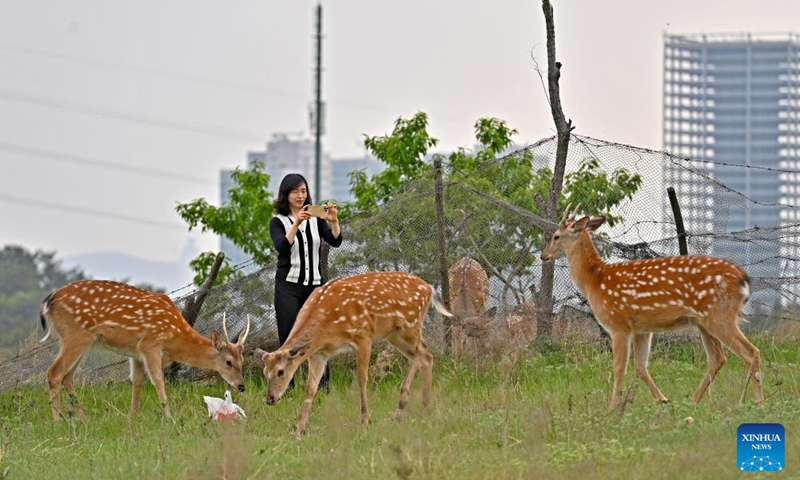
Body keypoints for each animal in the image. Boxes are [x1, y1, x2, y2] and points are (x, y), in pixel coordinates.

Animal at [39, 279, 251, 421]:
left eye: (242, 360)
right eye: (228, 362)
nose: (241, 386)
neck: (175, 338)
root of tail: (48, 302)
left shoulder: (135, 352)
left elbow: (137, 381)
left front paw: (132, 416)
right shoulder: (150, 343)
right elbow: (157, 380)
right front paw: (169, 417)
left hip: (82, 340)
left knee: (68, 377)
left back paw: (83, 418)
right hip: (76, 335)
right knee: (54, 372)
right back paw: (58, 421)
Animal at [254, 271, 452, 435]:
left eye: (281, 371)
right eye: (264, 373)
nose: (270, 399)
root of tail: (429, 289)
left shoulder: (363, 336)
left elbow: (361, 379)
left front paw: (365, 420)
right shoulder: (319, 353)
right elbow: (311, 388)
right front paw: (299, 429)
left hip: (410, 325)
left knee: (422, 354)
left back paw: (402, 406)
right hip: (394, 334)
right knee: (426, 356)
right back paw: (425, 408)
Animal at [540, 206, 763, 411]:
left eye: (556, 236)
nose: (543, 255)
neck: (595, 281)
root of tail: (744, 280)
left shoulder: (618, 324)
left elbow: (619, 367)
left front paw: (612, 408)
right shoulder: (642, 329)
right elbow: (640, 366)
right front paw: (663, 399)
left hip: (720, 315)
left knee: (750, 352)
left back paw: (755, 401)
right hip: (704, 321)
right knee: (718, 358)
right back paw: (693, 401)